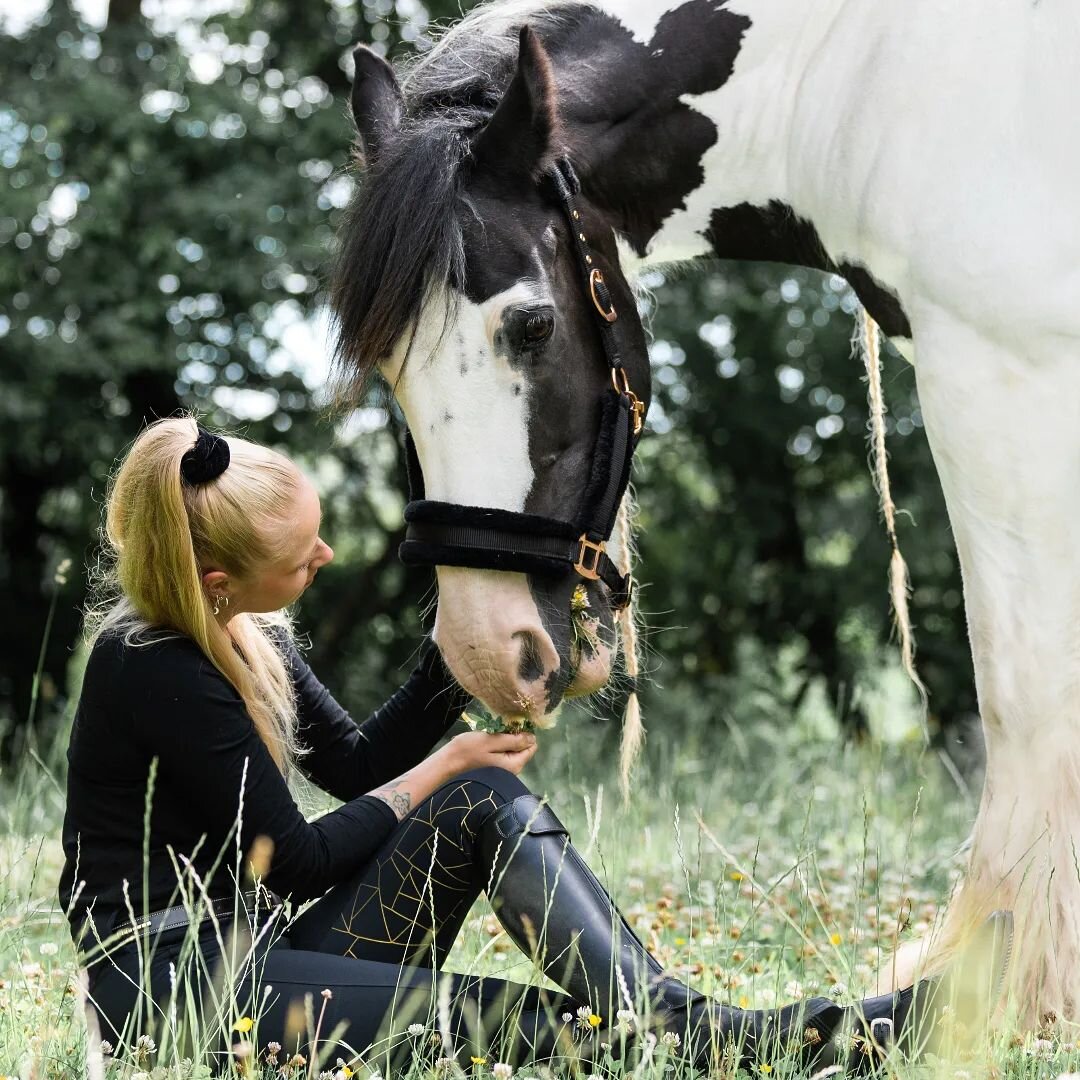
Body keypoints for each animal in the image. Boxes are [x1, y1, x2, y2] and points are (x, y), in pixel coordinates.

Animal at [328, 0, 1080, 1019]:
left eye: (532, 324)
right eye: (388, 366)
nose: (485, 649)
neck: (865, 75)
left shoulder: (1000, 373)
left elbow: (1025, 695)